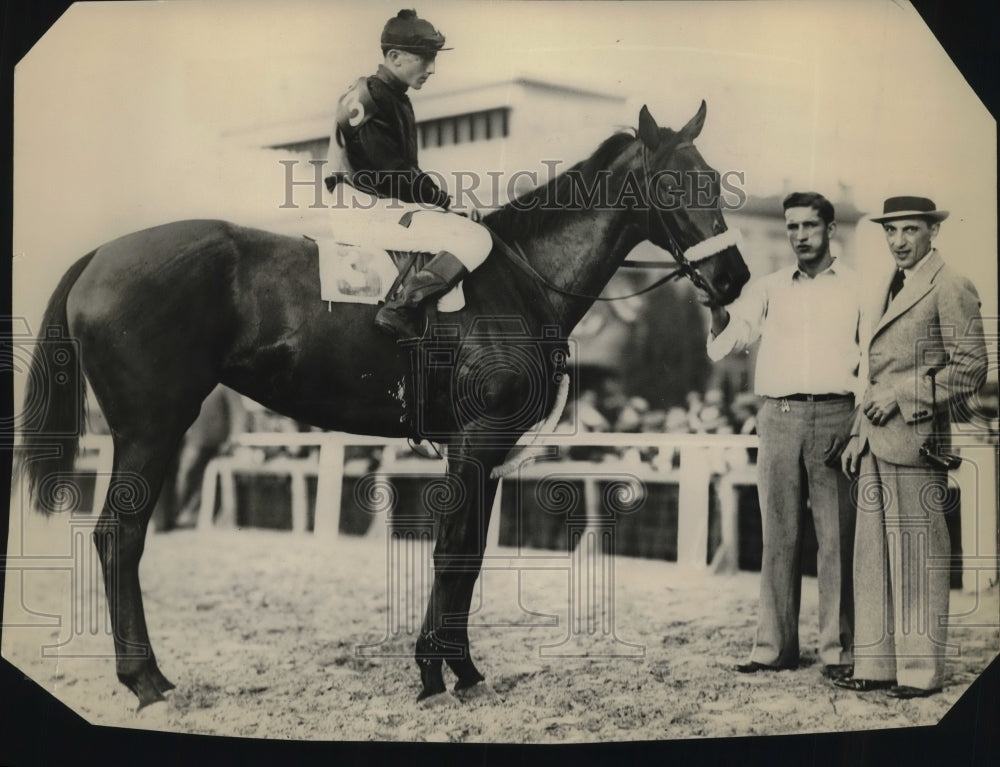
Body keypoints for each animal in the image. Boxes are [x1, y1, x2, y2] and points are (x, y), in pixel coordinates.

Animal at [17, 103, 752, 708]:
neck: (517, 276)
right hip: (152, 428)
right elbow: (452, 553)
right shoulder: (477, 439)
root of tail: (101, 255)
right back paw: (145, 678)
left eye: (714, 181)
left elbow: (470, 554)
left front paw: (461, 668)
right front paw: (434, 670)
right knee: (120, 537)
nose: (734, 277)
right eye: (673, 185)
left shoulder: (485, 451)